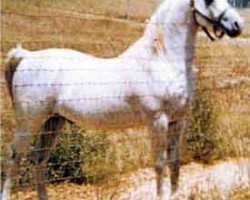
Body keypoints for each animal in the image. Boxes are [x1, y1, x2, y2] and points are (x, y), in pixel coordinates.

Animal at [2, 0, 244, 199]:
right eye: (208, 0)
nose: (237, 25)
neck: (160, 58)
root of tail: (26, 56)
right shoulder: (158, 121)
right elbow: (159, 164)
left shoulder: (178, 121)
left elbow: (175, 163)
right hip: (29, 122)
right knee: (14, 157)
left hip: (53, 121)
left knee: (39, 159)